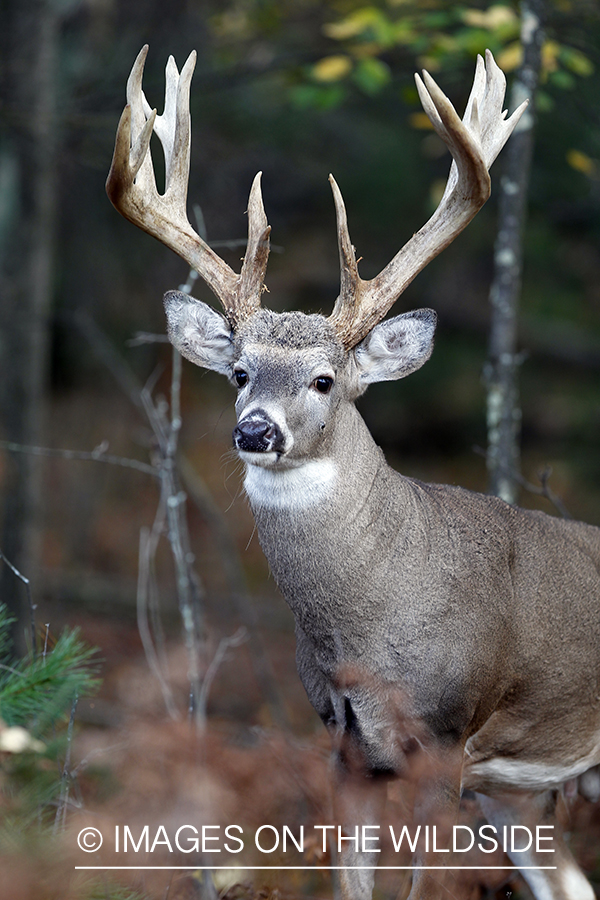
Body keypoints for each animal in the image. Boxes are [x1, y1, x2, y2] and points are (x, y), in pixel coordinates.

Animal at [108, 45, 600, 896]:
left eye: (324, 381)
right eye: (239, 372)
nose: (255, 430)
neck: (365, 637)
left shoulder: (448, 735)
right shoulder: (345, 746)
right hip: (518, 795)